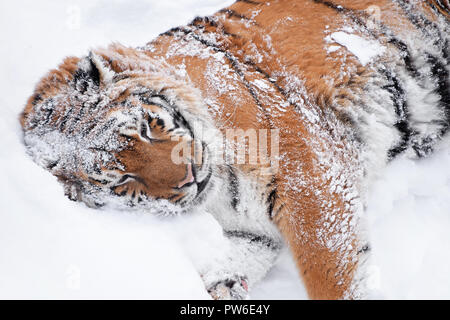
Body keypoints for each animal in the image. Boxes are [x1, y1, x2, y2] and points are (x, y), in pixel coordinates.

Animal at [19, 0, 448, 300]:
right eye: (123, 179)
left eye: (146, 127)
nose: (189, 178)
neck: (219, 193)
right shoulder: (250, 230)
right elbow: (228, 260)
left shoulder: (309, 176)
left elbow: (328, 271)